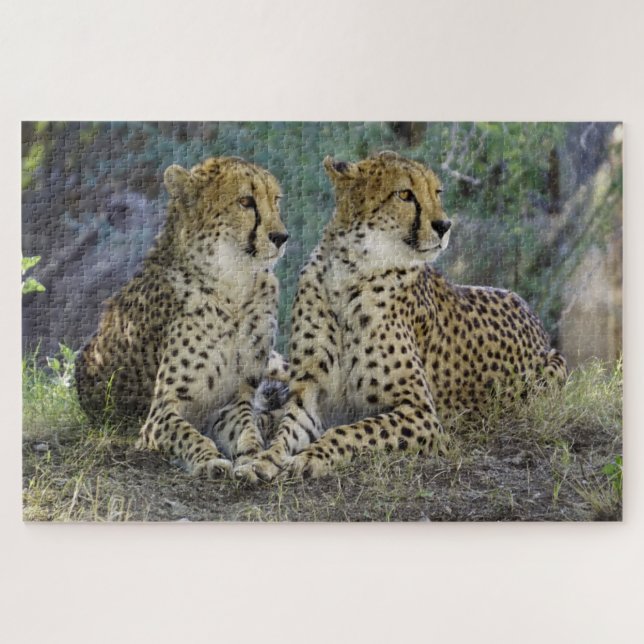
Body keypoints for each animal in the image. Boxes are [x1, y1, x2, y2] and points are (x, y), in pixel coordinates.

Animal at [75, 156, 289, 478]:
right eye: (245, 201)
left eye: (276, 200)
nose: (281, 237)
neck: (233, 289)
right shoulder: (160, 413)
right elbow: (187, 434)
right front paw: (209, 459)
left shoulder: (232, 401)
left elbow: (247, 430)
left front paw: (252, 456)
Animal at [234, 151, 568, 482]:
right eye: (405, 194)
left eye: (437, 192)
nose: (444, 225)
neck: (348, 272)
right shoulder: (309, 394)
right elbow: (286, 431)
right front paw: (262, 460)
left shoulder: (421, 412)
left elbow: (351, 431)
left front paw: (312, 457)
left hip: (552, 369)